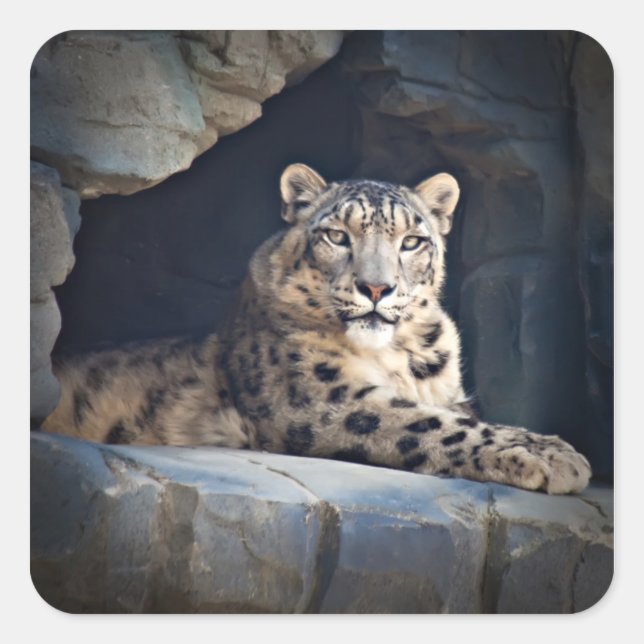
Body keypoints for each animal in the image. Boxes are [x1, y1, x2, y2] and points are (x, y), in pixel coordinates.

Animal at [42, 163, 592, 494]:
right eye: (336, 236)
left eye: (412, 241)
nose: (377, 287)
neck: (397, 356)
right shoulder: (320, 398)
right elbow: (431, 424)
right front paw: (557, 456)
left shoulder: (448, 394)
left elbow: (462, 417)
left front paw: (550, 448)